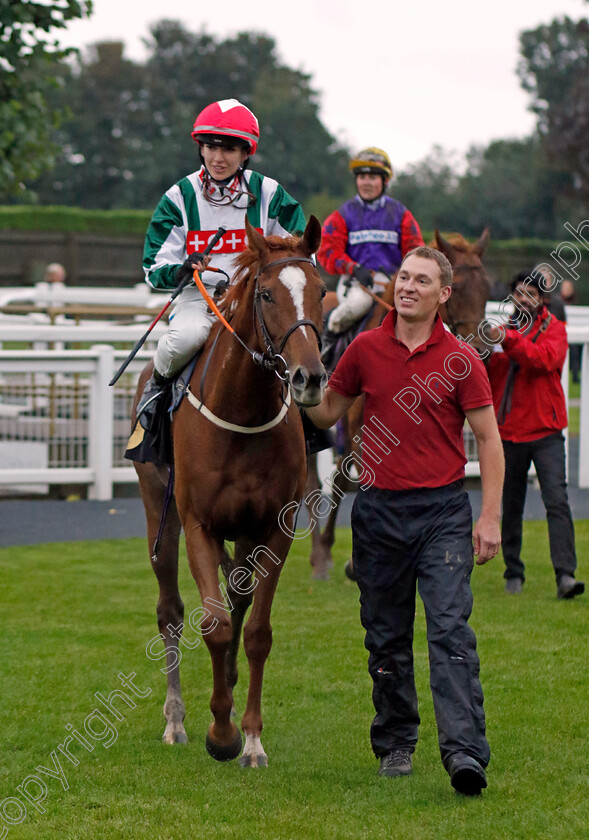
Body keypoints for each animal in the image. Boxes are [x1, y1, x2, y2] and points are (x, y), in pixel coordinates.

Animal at [133, 218, 326, 768]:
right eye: (265, 294)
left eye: (322, 291)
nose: (308, 378)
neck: (243, 413)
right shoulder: (199, 522)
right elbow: (213, 624)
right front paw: (220, 735)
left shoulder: (274, 527)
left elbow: (256, 631)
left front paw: (251, 737)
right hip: (159, 514)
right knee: (171, 610)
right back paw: (175, 720)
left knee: (239, 597)